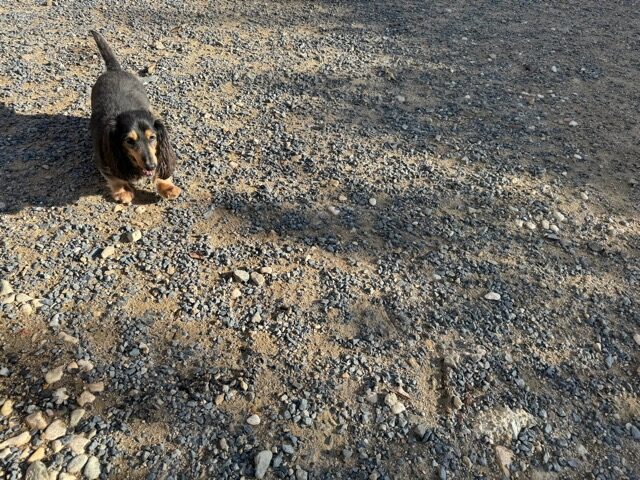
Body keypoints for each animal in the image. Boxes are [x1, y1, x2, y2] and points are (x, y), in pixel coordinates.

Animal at [89, 30, 181, 204]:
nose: (151, 166)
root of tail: (114, 70)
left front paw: (167, 187)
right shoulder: (104, 160)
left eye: (152, 137)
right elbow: (115, 178)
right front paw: (123, 191)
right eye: (129, 141)